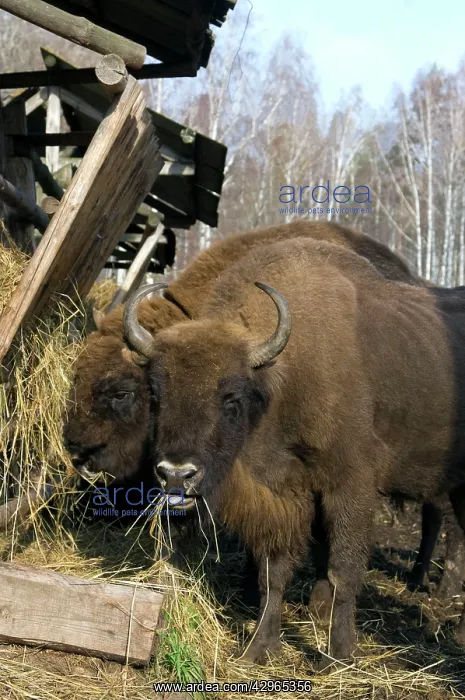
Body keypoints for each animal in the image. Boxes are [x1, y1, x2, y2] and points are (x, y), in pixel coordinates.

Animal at [122, 237, 465, 665]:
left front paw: (339, 655)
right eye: (155, 394)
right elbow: (274, 572)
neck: (278, 381)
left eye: (231, 399)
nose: (176, 474)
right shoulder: (284, 493)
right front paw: (258, 649)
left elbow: (342, 568)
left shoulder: (349, 487)